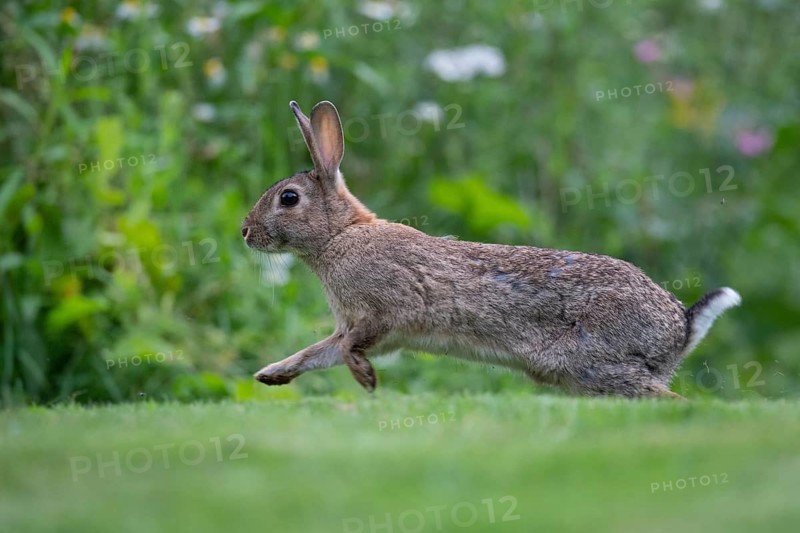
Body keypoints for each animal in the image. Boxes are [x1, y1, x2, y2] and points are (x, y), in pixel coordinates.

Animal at [241, 100, 741, 398]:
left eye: (288, 198)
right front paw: (271, 375)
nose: (245, 232)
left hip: (592, 361)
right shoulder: (360, 328)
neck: (340, 235)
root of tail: (680, 327)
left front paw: (366, 381)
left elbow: (348, 349)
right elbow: (317, 352)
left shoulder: (386, 312)